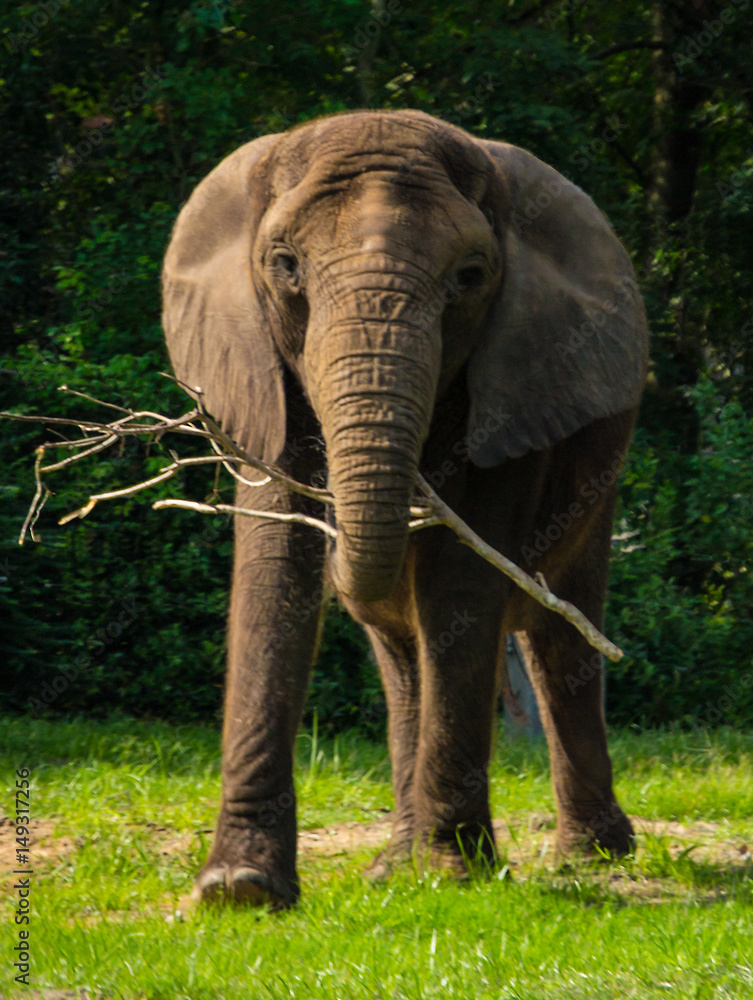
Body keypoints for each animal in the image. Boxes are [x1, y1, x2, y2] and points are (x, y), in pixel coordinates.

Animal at [162, 109, 649, 909]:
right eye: (284, 266)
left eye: (471, 276)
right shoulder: (259, 378)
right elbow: (273, 570)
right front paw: (239, 889)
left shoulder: (514, 380)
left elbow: (458, 583)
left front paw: (453, 874)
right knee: (402, 649)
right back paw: (395, 867)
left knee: (560, 636)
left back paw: (590, 859)